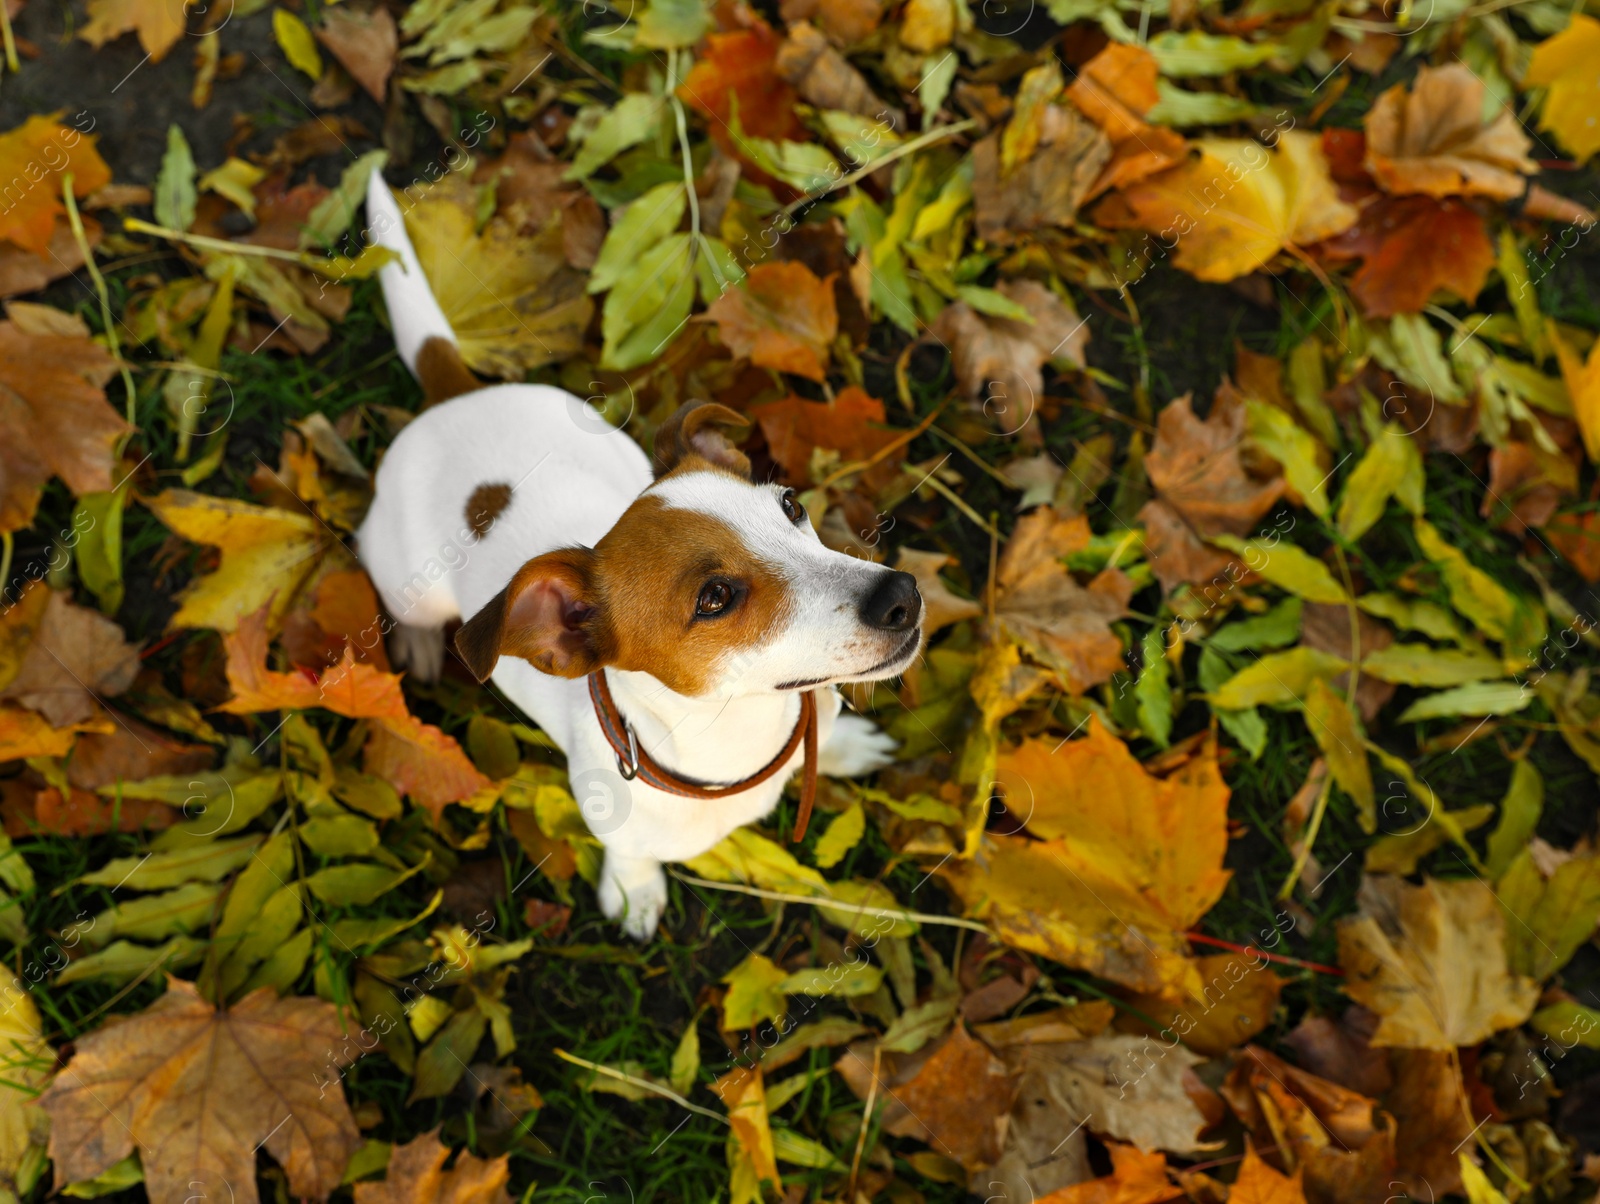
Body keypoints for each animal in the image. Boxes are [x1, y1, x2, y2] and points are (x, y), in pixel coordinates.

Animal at [355, 171, 921, 941]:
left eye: (791, 506)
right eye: (714, 599)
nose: (902, 595)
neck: (739, 736)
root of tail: (456, 397)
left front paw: (843, 747)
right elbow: (630, 856)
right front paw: (633, 890)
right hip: (401, 569)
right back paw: (415, 640)